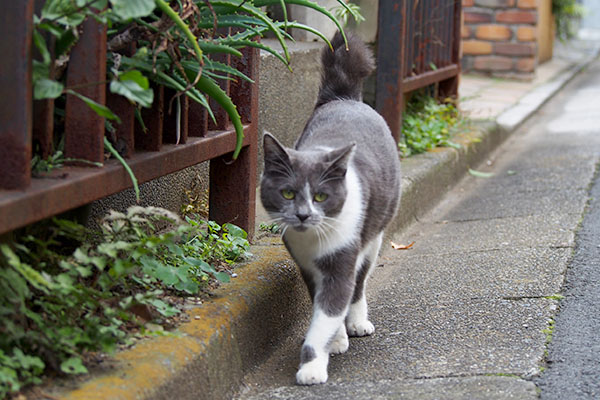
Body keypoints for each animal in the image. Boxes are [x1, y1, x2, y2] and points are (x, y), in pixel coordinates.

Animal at [260, 31, 400, 384]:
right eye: (287, 193)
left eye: (321, 196)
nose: (303, 214)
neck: (314, 240)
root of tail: (343, 97)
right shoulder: (306, 265)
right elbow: (321, 308)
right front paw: (335, 341)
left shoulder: (342, 258)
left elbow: (333, 306)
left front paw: (311, 367)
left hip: (374, 236)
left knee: (360, 282)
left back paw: (358, 321)